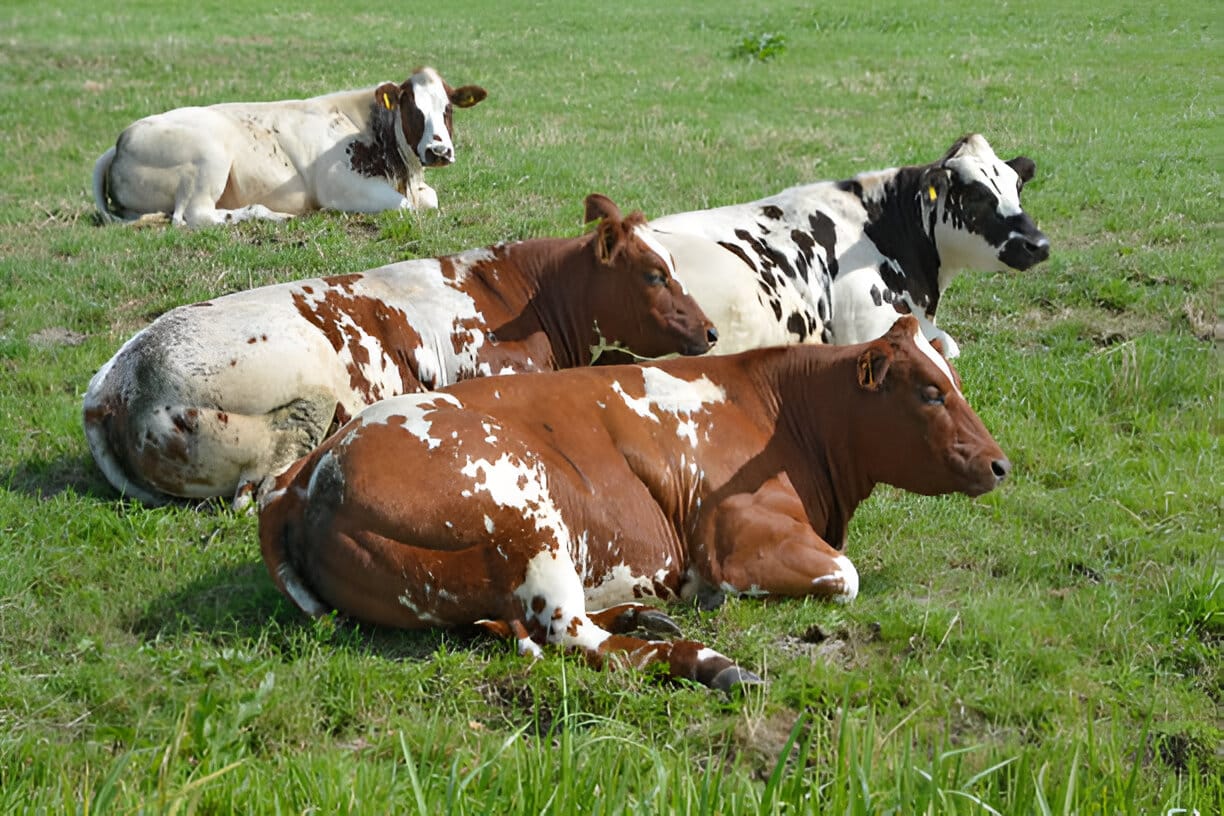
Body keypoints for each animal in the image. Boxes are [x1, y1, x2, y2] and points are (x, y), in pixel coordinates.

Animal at [83, 194, 717, 509]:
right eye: (654, 274)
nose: (710, 332)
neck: (521, 295)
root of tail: (115, 384)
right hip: (300, 405)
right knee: (256, 489)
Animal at [92, 66, 487, 227]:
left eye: (448, 109)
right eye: (412, 109)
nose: (438, 151)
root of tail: (122, 139)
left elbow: (429, 199)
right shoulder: (342, 186)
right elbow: (407, 208)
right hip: (209, 156)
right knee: (194, 216)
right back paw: (268, 215)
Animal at [258, 315, 1009, 691]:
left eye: (951, 379)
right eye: (930, 392)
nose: (1000, 464)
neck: (779, 412)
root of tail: (308, 469)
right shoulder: (733, 535)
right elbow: (845, 576)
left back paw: (644, 616)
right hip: (531, 518)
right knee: (574, 638)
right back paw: (706, 662)